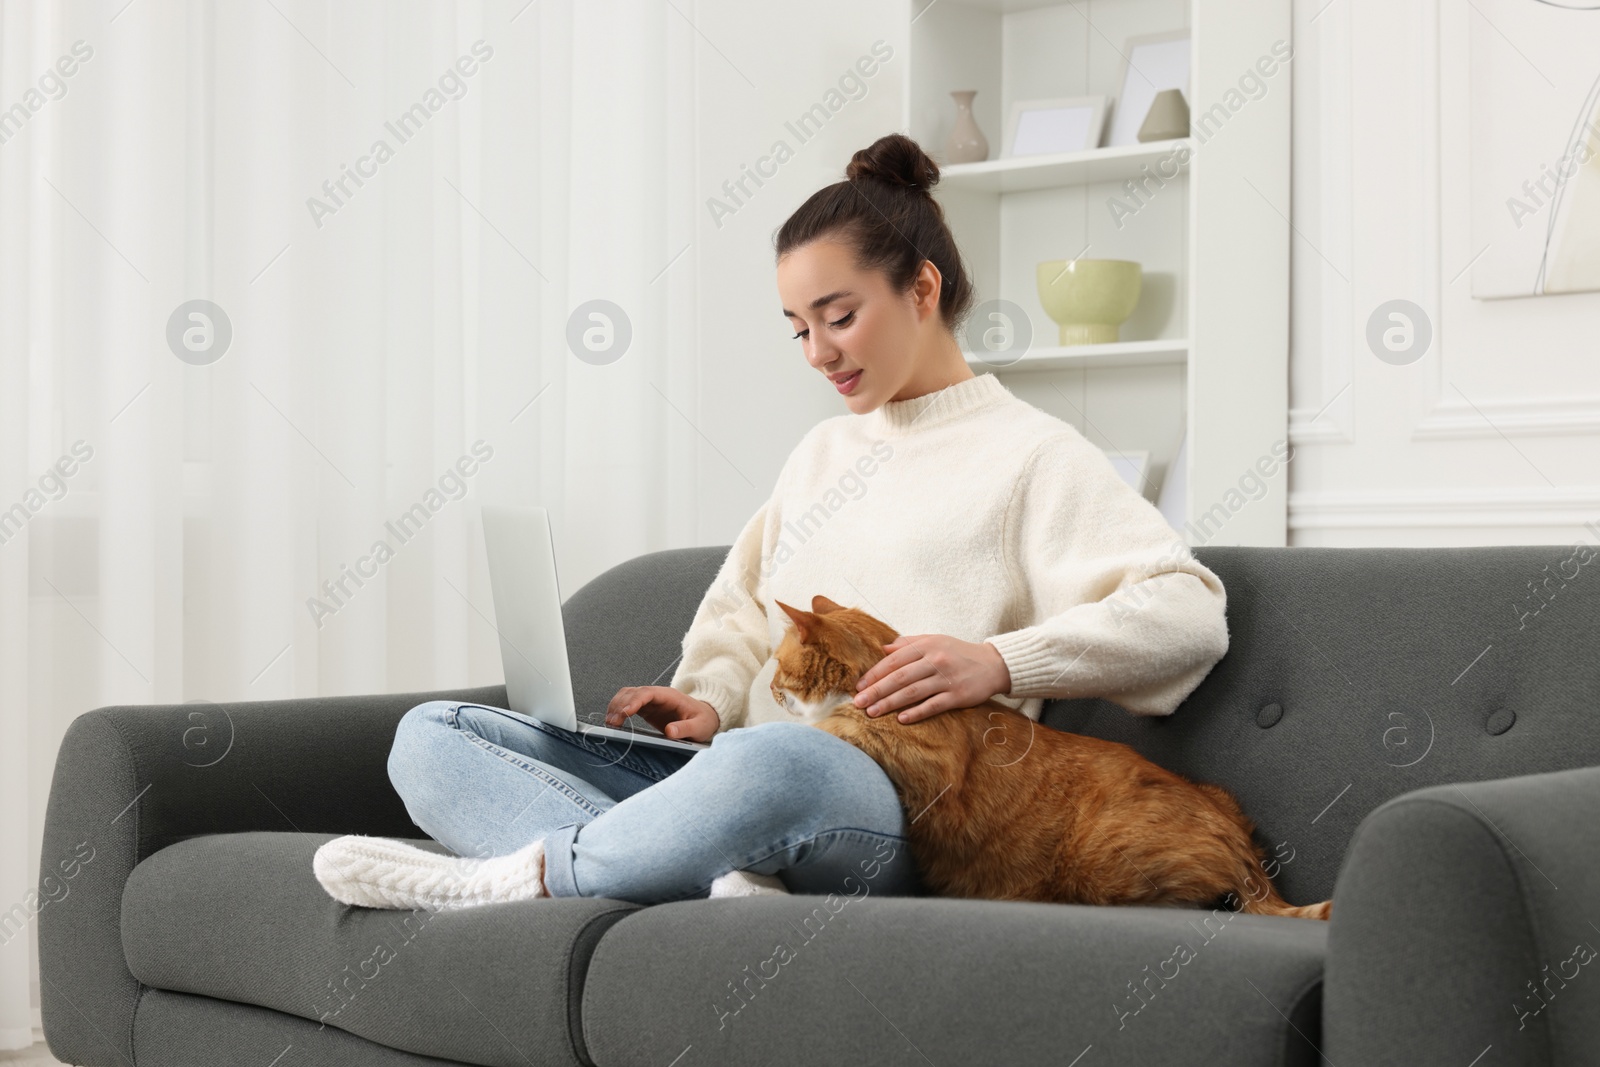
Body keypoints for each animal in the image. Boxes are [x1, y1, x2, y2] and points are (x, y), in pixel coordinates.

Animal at [768, 598, 1331, 921]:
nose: (770, 689)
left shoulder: (926, 762)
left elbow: (834, 725)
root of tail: (1253, 864)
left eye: (777, 666)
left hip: (1098, 864)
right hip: (1221, 797)